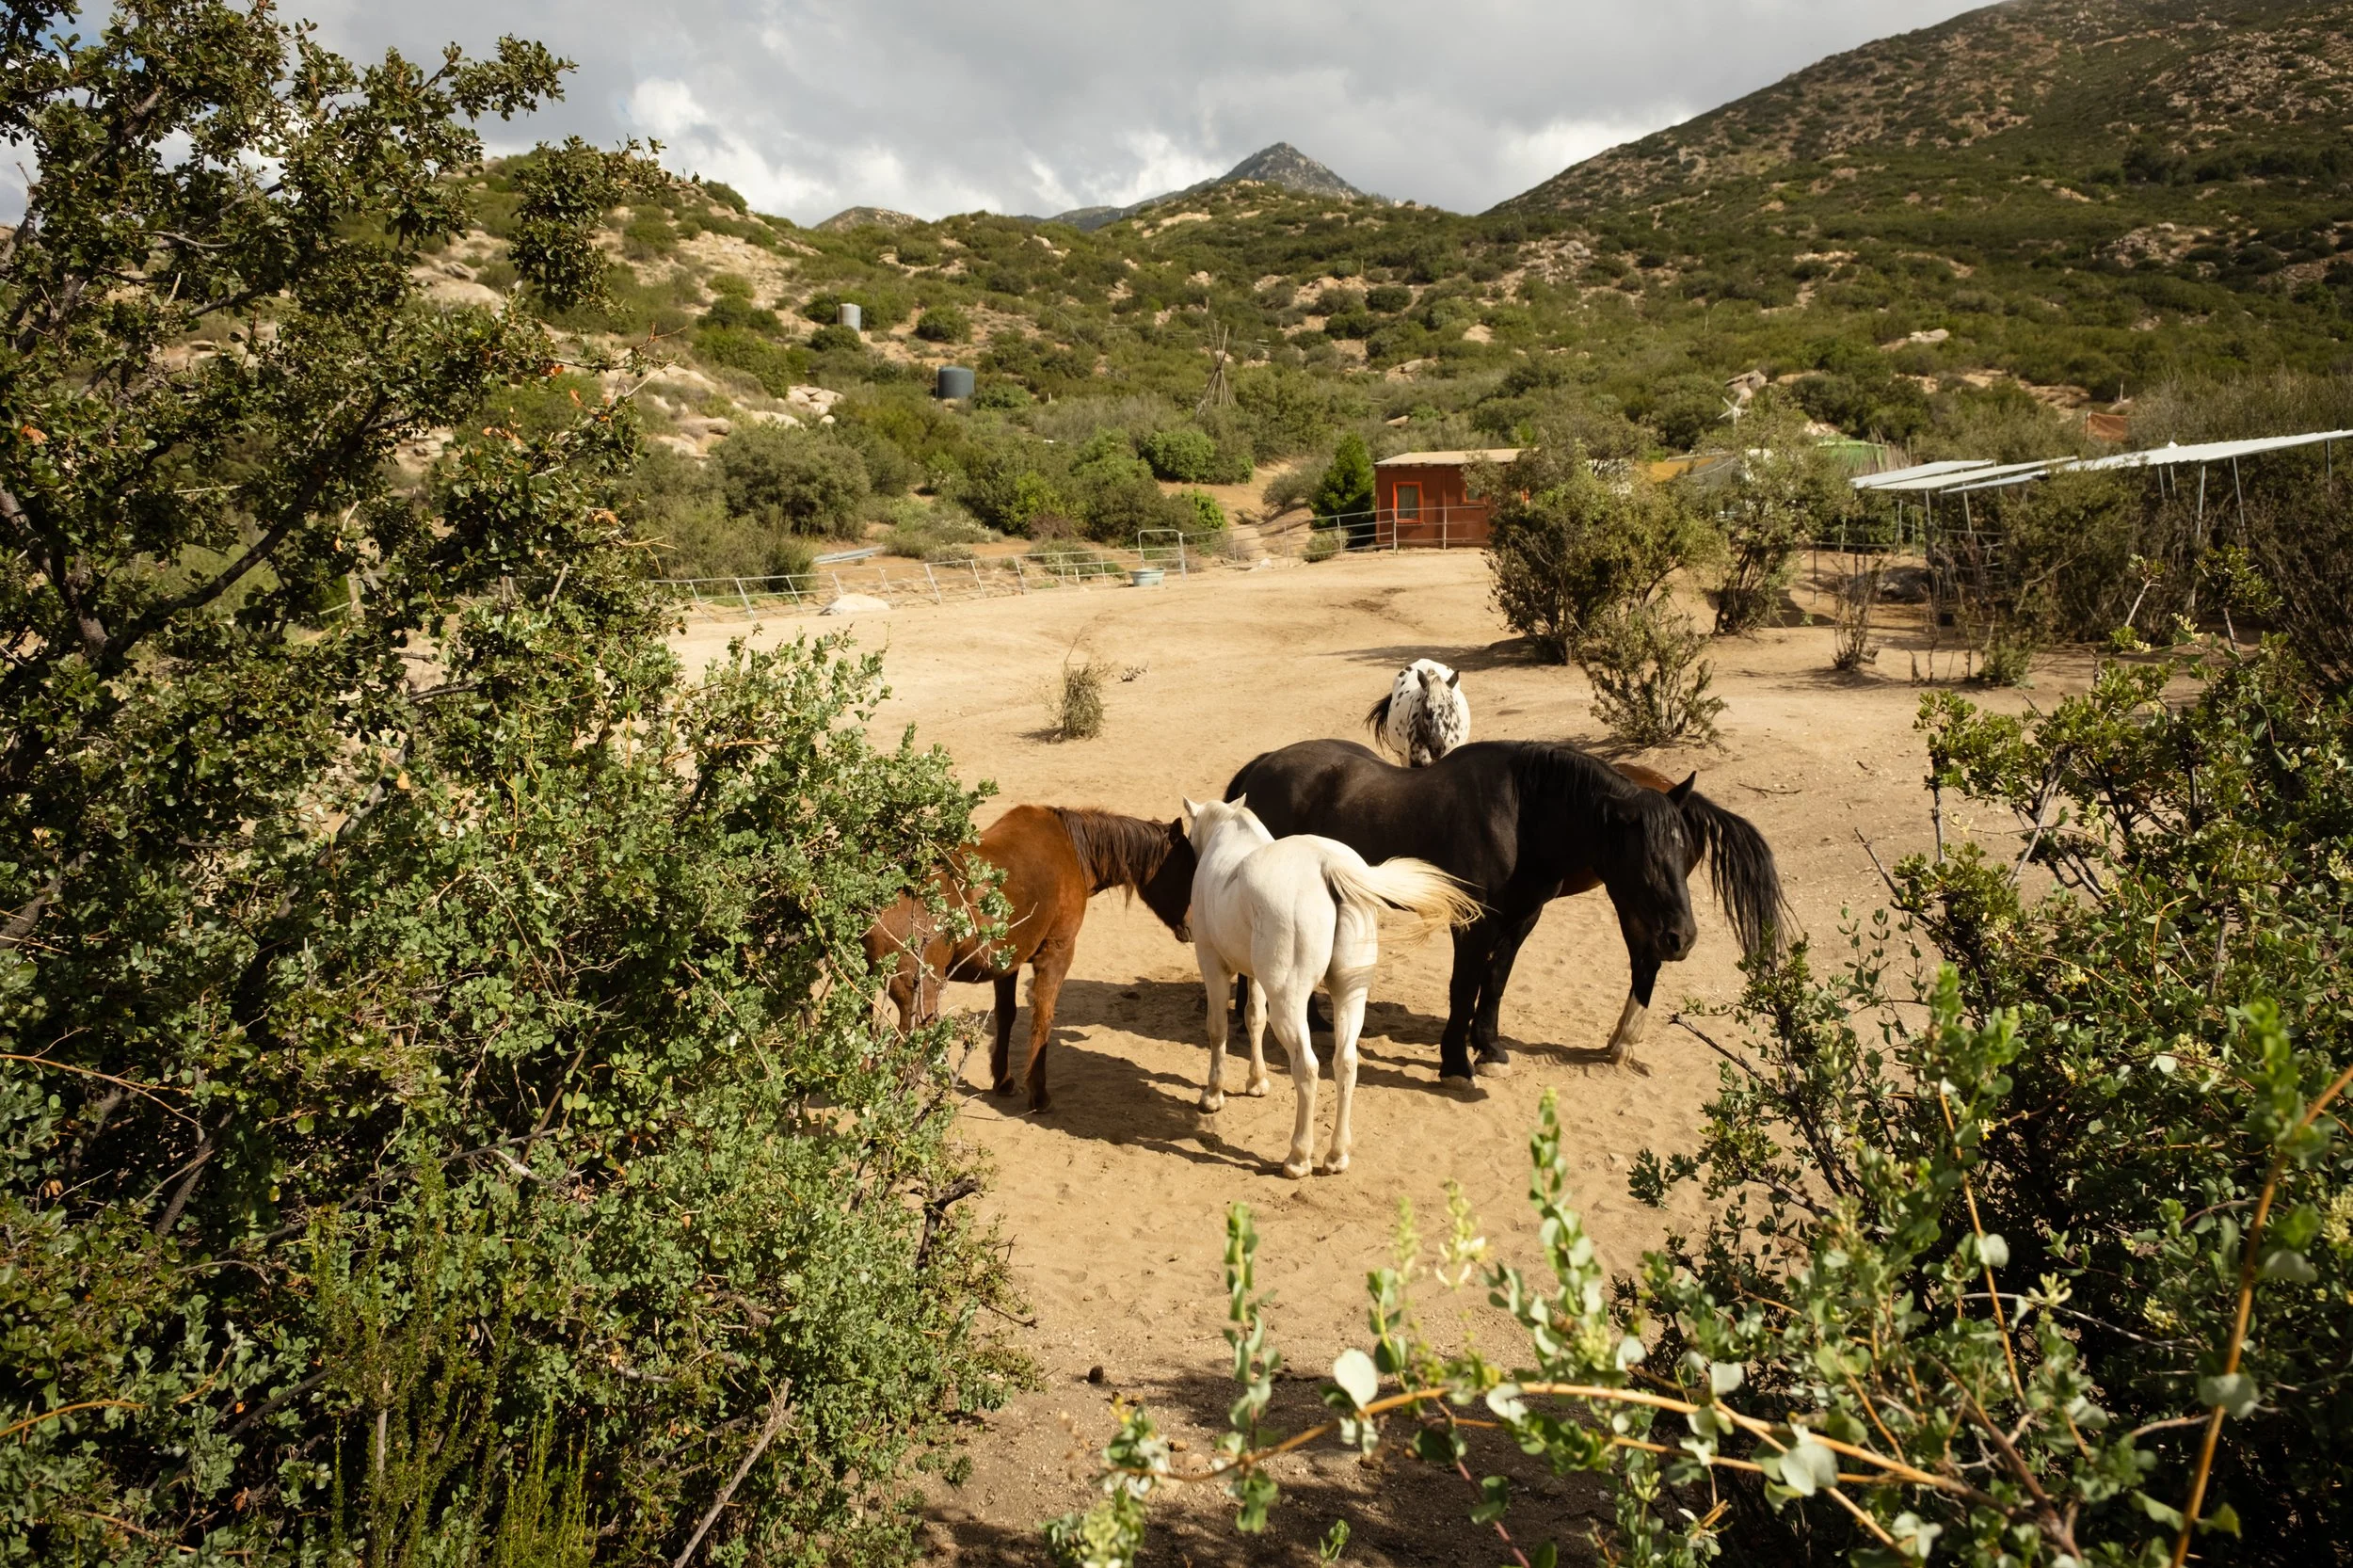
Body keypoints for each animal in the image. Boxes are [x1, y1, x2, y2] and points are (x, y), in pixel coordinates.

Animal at [864, 805, 1194, 1111]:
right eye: (1186, 870)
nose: (1193, 927)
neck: (1072, 848)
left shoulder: (1007, 963)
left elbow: (1007, 1015)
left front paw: (1004, 1080)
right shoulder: (1057, 954)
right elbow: (1042, 1018)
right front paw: (1039, 1093)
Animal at [1183, 796, 1477, 1177]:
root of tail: (1328, 865)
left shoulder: (1213, 965)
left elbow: (1218, 1028)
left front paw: (1213, 1095)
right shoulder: (1257, 977)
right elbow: (1253, 1020)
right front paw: (1256, 1082)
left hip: (1289, 1003)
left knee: (1307, 1068)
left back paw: (1298, 1157)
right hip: (1348, 996)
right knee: (1346, 1063)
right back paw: (1337, 1155)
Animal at [1223, 739, 1784, 1080]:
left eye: (1685, 852)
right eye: (1644, 856)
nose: (1682, 937)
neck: (1521, 816)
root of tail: (1263, 767)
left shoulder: (1521, 919)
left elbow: (1494, 983)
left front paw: (1488, 1049)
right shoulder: (1474, 922)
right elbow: (1464, 986)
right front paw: (1455, 1062)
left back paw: (1312, 1018)